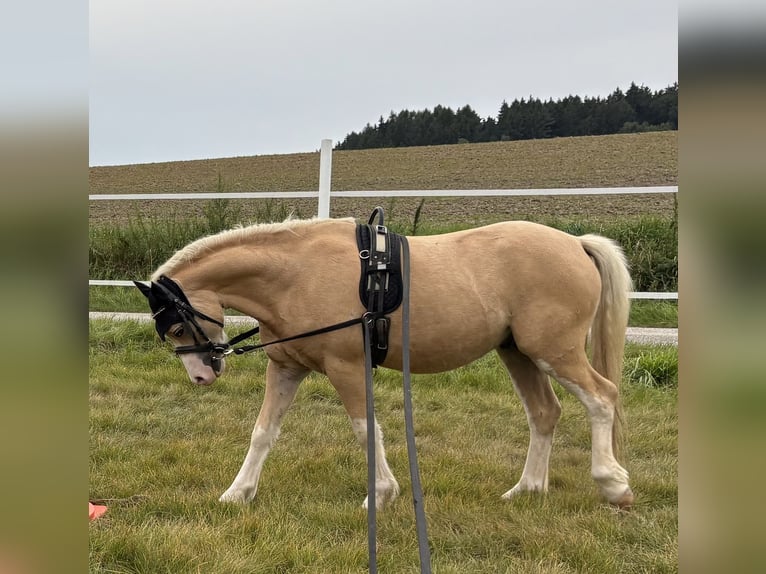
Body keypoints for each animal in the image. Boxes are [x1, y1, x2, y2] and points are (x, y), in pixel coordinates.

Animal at [135, 216, 635, 509]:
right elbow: (263, 433)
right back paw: (527, 489)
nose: (203, 375)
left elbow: (365, 429)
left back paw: (612, 483)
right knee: (544, 413)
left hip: (554, 352)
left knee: (602, 398)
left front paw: (380, 495)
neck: (295, 274)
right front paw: (237, 493)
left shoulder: (347, 368)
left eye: (176, 328)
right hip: (519, 353)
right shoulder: (287, 368)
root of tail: (576, 244)